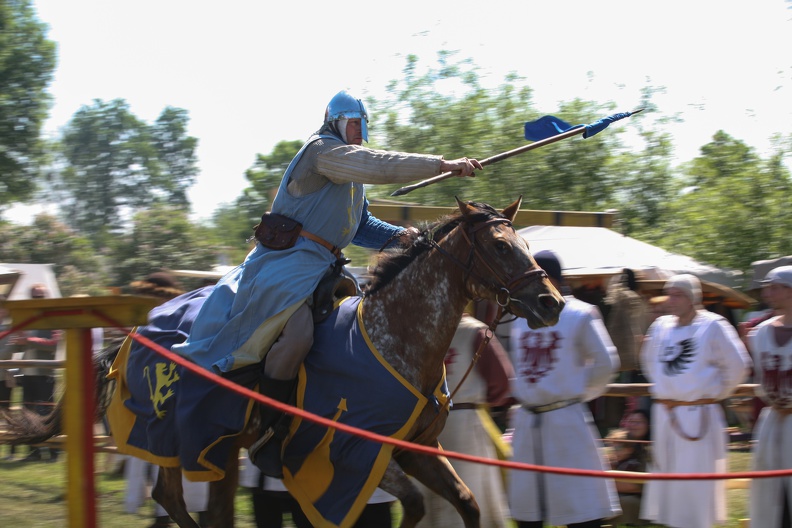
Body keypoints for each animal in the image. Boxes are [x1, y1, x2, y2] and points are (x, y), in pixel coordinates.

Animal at [3, 196, 568, 524]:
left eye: (523, 241)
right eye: (500, 246)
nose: (551, 303)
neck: (396, 337)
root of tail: (134, 334)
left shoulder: (418, 451)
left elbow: (467, 504)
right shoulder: (354, 454)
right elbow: (409, 506)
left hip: (201, 443)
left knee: (179, 500)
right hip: (190, 436)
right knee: (189, 503)